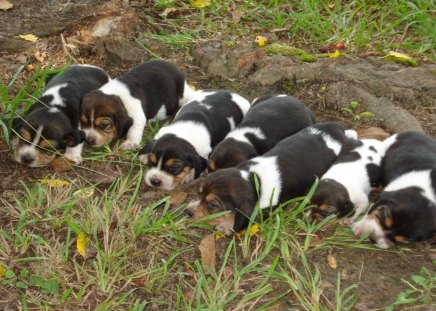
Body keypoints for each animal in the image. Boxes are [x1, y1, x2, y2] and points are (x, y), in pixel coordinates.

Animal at [186, 123, 348, 235]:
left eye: (212, 205)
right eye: (199, 193)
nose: (187, 212)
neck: (253, 179)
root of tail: (335, 129)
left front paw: (225, 226)